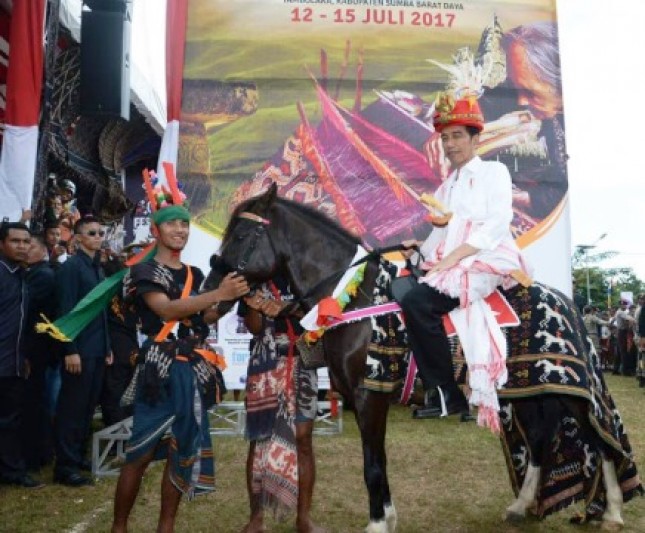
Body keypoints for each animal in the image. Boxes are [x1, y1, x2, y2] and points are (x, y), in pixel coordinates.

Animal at [216, 184, 640, 532]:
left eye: (240, 235)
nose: (214, 284)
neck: (353, 296)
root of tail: (567, 303)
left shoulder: (370, 395)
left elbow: (372, 465)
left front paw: (377, 524)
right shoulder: (362, 399)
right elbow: (379, 460)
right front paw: (388, 517)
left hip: (571, 392)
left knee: (601, 440)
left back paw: (613, 512)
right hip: (532, 391)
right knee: (539, 440)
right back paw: (521, 506)